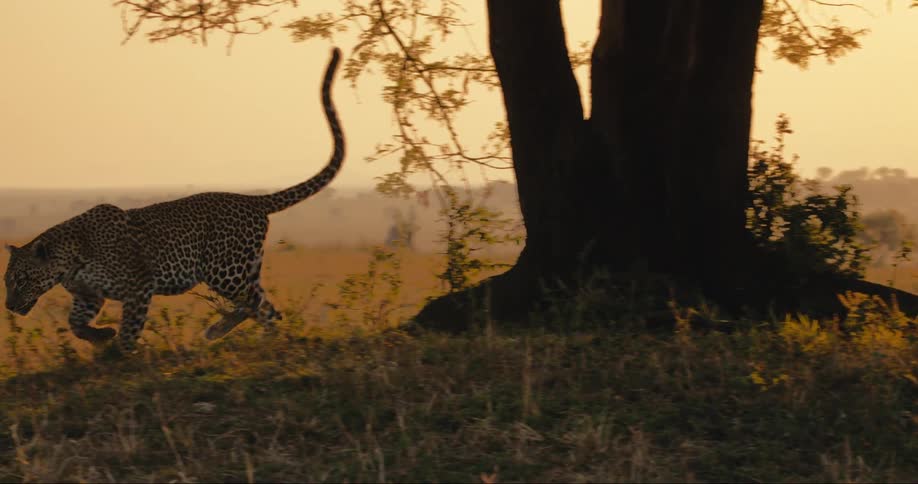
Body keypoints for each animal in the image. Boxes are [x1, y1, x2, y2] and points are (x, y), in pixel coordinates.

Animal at [3, 47, 345, 352]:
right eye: (7, 280)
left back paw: (220, 331)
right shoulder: (89, 296)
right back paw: (261, 340)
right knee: (266, 308)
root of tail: (252, 200)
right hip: (243, 268)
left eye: (21, 279)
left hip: (225, 270)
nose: (8, 305)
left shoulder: (139, 286)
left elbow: (130, 329)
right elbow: (75, 324)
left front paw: (120, 354)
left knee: (254, 303)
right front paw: (101, 337)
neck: (68, 262)